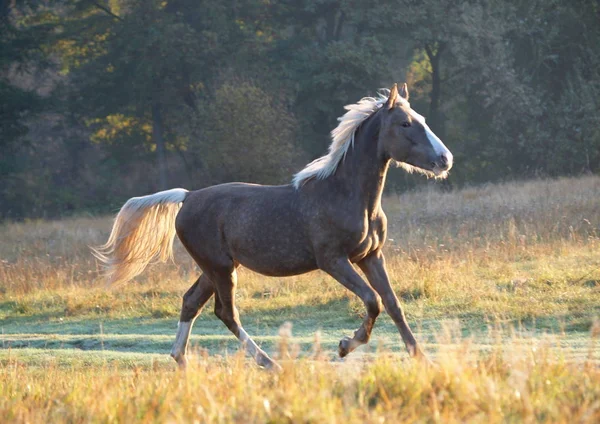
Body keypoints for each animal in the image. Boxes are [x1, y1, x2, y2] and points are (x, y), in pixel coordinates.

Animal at [94, 83, 450, 368]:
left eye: (422, 120)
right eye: (405, 123)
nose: (445, 159)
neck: (348, 195)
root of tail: (187, 196)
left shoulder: (371, 256)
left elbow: (393, 304)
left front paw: (422, 358)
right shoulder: (333, 260)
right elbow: (372, 300)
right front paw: (345, 346)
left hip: (216, 267)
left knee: (191, 302)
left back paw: (181, 361)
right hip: (220, 267)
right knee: (226, 313)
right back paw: (269, 363)